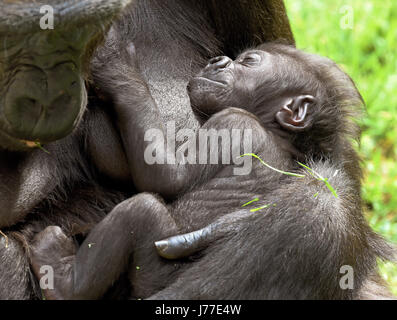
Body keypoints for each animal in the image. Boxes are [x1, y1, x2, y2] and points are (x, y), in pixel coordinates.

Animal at [30, 43, 366, 300]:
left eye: (248, 62)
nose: (218, 61)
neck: (277, 133)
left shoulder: (233, 123)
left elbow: (167, 177)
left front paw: (117, 72)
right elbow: (121, 167)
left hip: (157, 278)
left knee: (142, 210)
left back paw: (62, 281)